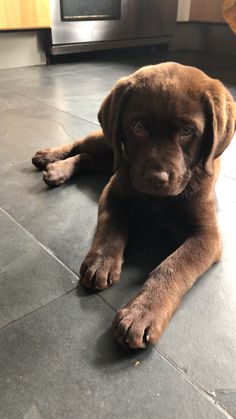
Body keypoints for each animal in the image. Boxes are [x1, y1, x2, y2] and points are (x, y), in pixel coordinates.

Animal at [32, 62, 235, 352]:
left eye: (187, 131)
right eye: (137, 126)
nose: (156, 178)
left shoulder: (206, 236)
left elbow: (172, 266)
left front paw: (143, 312)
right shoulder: (114, 191)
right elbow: (111, 227)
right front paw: (103, 262)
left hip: (109, 158)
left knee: (86, 157)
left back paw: (59, 169)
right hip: (108, 143)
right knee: (81, 144)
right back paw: (50, 157)